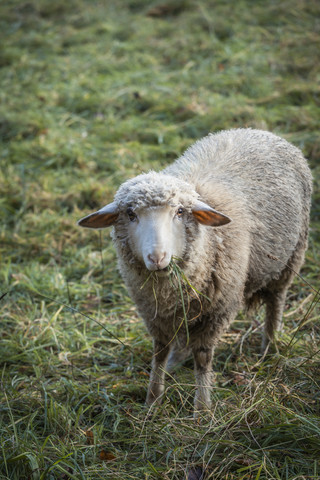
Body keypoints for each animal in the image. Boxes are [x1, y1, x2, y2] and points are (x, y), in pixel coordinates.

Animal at [77, 128, 312, 416]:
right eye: (131, 214)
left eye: (180, 211)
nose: (157, 257)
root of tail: (257, 130)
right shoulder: (155, 312)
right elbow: (159, 352)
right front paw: (153, 400)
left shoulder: (217, 312)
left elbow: (202, 357)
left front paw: (202, 408)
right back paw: (177, 361)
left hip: (291, 257)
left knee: (276, 302)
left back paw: (269, 347)